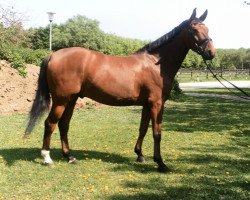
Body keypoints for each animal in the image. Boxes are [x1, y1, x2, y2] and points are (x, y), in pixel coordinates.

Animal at [26, 8, 216, 173]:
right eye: (193, 29)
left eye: (207, 28)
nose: (211, 53)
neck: (155, 63)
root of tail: (53, 55)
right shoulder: (157, 103)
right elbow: (157, 132)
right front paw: (160, 163)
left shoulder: (147, 104)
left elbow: (143, 129)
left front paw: (140, 155)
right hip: (61, 100)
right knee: (50, 123)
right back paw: (47, 158)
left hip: (71, 99)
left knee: (64, 124)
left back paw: (70, 157)